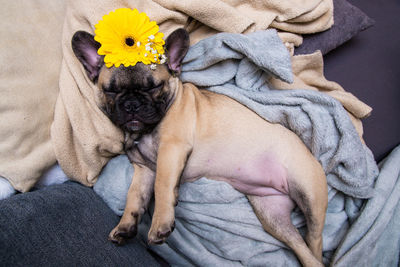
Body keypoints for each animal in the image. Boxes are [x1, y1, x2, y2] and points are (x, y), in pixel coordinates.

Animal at [72, 28, 328, 266]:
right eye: (111, 90)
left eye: (154, 87)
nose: (132, 104)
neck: (142, 132)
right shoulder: (144, 170)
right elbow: (134, 197)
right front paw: (125, 226)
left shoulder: (171, 149)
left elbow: (162, 186)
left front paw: (161, 222)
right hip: (272, 216)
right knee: (301, 247)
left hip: (308, 192)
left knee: (314, 240)